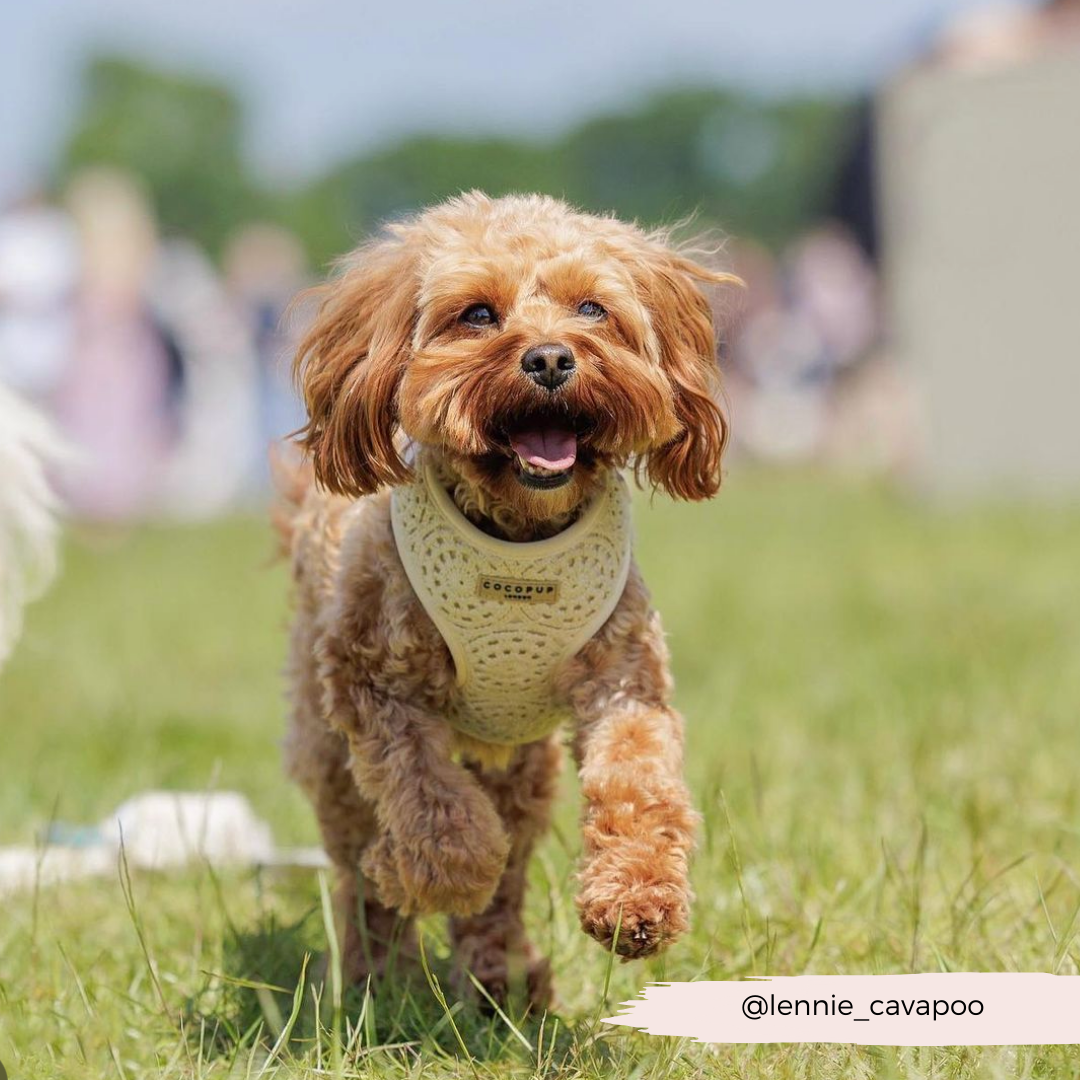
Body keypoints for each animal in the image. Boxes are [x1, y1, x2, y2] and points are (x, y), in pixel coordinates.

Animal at [274, 190, 738, 1006]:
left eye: (592, 308)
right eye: (478, 315)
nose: (549, 358)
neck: (517, 538)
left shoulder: (622, 679)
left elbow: (636, 780)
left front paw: (635, 898)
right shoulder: (372, 683)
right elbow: (430, 804)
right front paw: (429, 872)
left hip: (522, 762)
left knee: (509, 867)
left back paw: (499, 983)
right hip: (326, 743)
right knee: (359, 857)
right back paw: (377, 975)